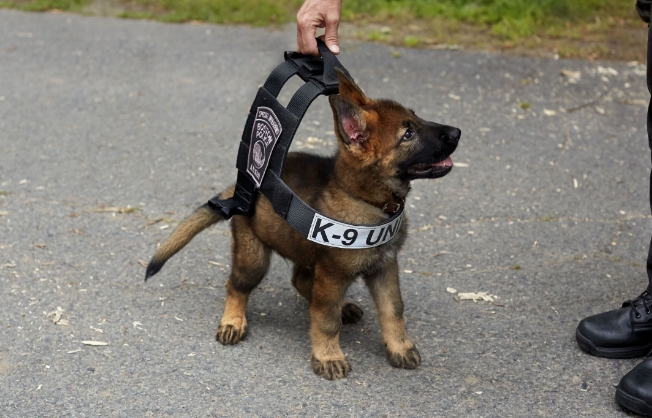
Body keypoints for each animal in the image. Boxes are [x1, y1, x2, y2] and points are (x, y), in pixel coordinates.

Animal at [145, 70, 460, 380]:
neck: (365, 199)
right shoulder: (333, 275)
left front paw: (400, 347)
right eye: (408, 134)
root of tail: (239, 188)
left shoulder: (385, 266)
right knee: (237, 285)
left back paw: (342, 307)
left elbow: (393, 309)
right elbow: (325, 319)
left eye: (416, 118)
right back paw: (233, 321)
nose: (457, 132)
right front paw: (328, 355)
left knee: (301, 281)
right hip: (254, 257)